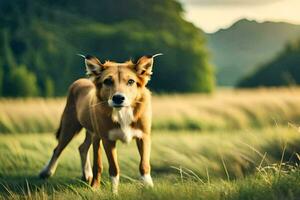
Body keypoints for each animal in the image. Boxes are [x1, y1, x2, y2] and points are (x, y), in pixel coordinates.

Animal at [39, 53, 162, 194]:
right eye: (108, 81)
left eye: (131, 81)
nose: (118, 98)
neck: (122, 112)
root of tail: (80, 81)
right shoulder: (107, 139)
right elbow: (110, 167)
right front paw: (110, 191)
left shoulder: (144, 137)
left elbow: (144, 165)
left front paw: (149, 187)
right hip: (71, 127)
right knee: (58, 149)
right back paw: (47, 172)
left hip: (91, 132)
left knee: (82, 147)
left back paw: (87, 175)